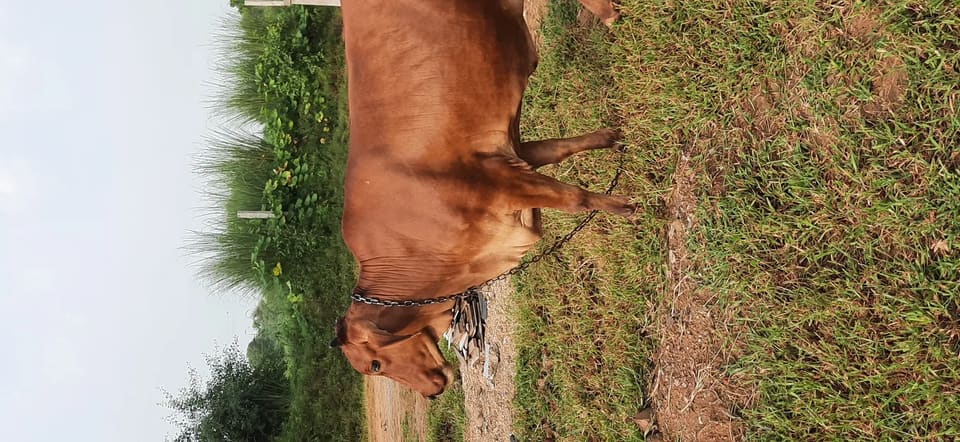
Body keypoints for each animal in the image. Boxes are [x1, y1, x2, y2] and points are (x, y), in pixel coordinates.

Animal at [330, 0, 629, 398]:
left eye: (375, 365)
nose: (432, 393)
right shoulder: (514, 155)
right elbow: (564, 150)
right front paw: (610, 137)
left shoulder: (499, 182)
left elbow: (575, 199)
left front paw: (626, 207)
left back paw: (612, 15)